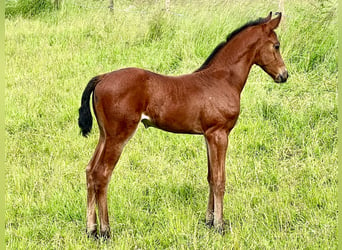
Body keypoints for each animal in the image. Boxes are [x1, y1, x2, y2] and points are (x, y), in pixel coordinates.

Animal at [79, 12, 288, 238]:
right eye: (276, 45)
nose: (284, 75)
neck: (222, 79)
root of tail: (102, 78)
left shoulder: (208, 135)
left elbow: (211, 177)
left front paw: (209, 221)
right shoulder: (220, 134)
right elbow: (220, 180)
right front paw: (220, 225)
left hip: (104, 135)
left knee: (90, 171)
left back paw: (91, 229)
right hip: (118, 136)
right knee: (102, 174)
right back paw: (105, 231)